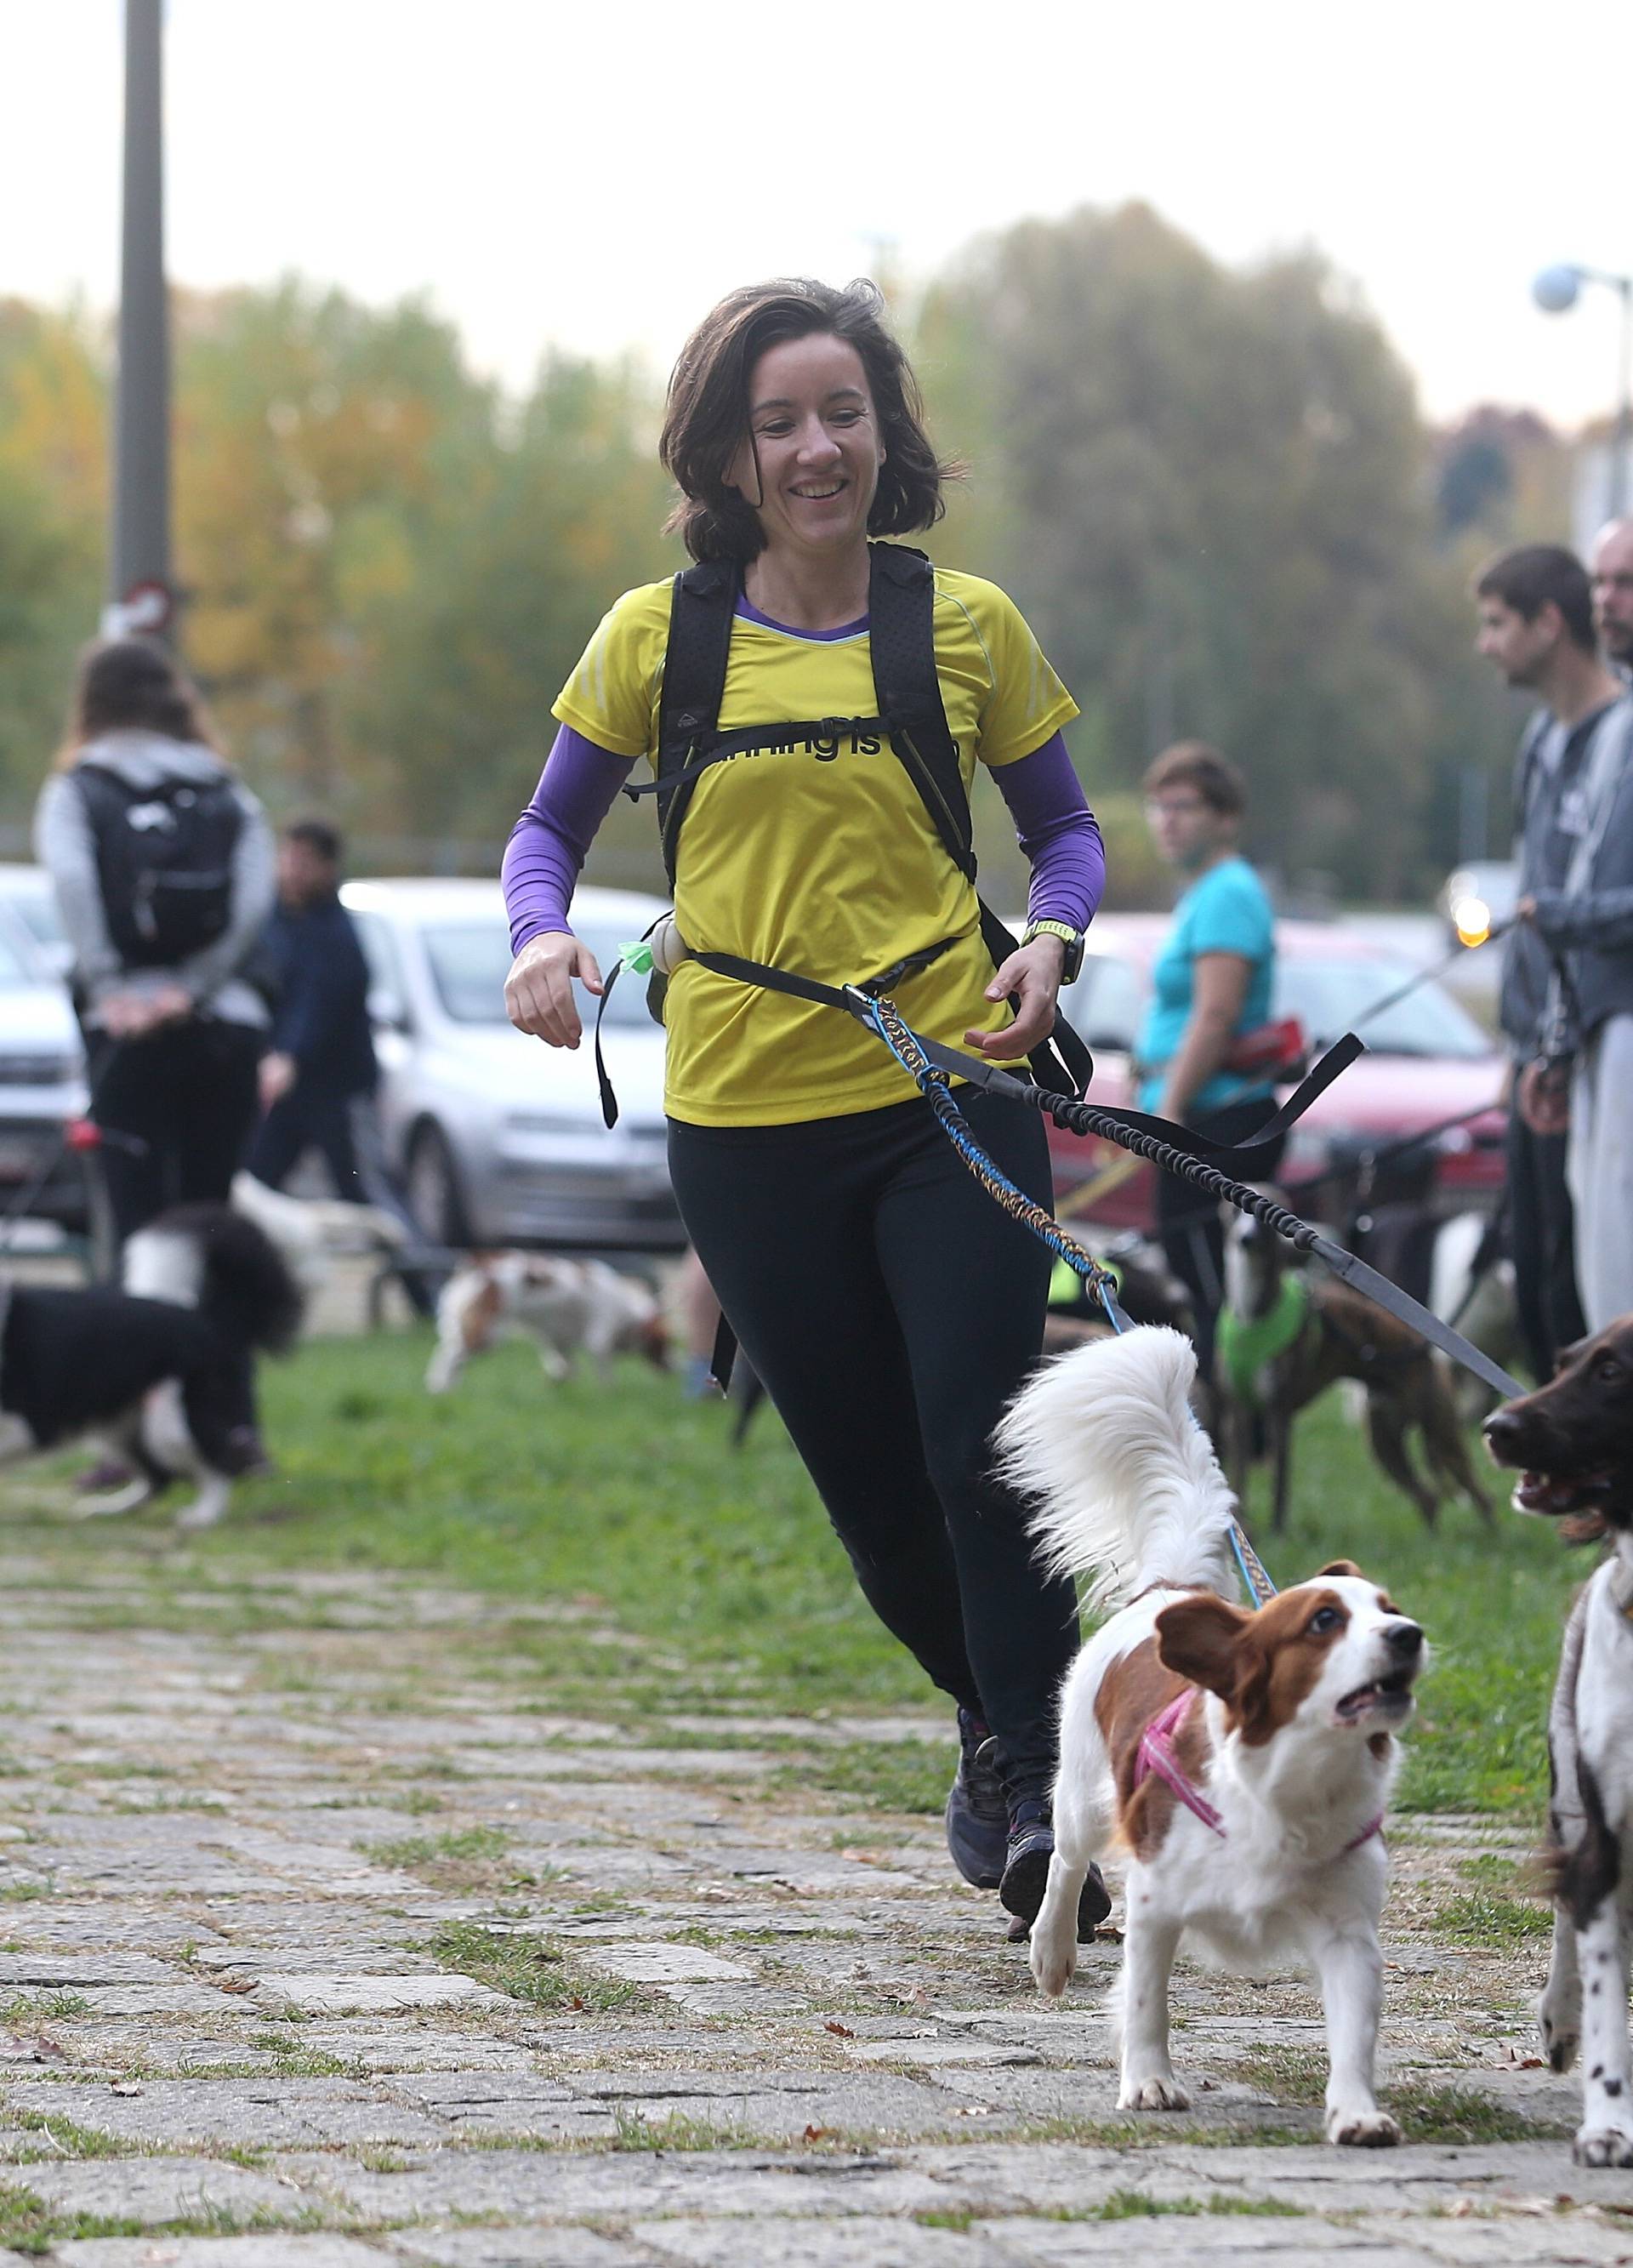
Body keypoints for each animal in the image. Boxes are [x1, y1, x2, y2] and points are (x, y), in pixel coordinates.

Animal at [0, 1197, 304, 1533]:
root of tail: (208, 1319)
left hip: (173, 1423)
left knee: (219, 1462)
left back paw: (202, 1516)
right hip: (121, 1425)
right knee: (160, 1477)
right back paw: (112, 1508)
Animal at [430, 1251, 671, 1388]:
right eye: (665, 1344)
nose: (675, 1367)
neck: (628, 1314)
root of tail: (480, 1265)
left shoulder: (557, 1339)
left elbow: (565, 1366)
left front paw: (563, 1384)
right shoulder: (599, 1336)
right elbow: (604, 1371)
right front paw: (609, 1391)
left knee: (448, 1355)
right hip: (486, 1333)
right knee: (450, 1358)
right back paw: (441, 1388)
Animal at [988, 1324, 1424, 2140]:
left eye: (1390, 1609)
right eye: (1325, 1620)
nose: (1409, 1635)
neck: (1292, 1787)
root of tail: (1171, 1589)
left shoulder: (1349, 1928)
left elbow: (1355, 2029)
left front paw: (1356, 2113)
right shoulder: (1157, 1902)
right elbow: (1145, 2002)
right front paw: (1149, 2082)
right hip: (1083, 1795)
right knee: (1063, 1862)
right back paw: (1051, 1951)